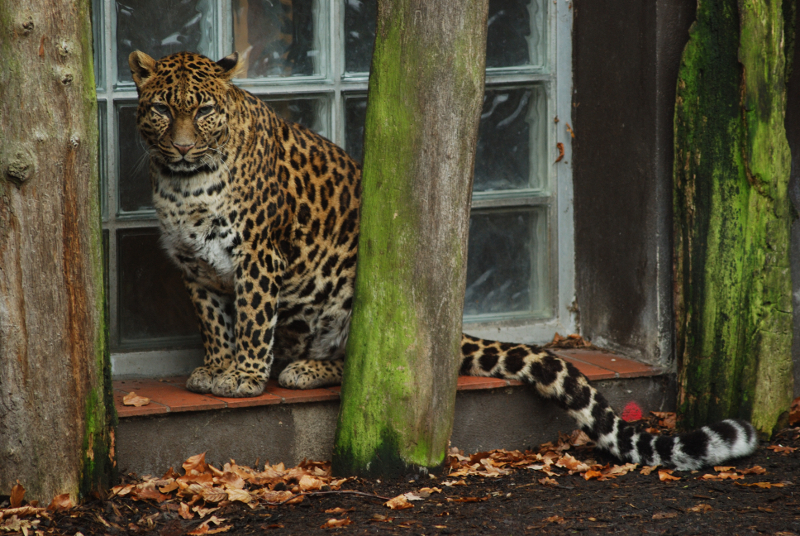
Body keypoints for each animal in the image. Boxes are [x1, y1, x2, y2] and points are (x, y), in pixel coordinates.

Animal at [129, 50, 758, 471]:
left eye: (204, 110)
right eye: (160, 108)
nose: (181, 146)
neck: (184, 183)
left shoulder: (259, 252)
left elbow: (253, 320)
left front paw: (243, 378)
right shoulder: (193, 264)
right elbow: (215, 323)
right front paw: (215, 368)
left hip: (360, 287)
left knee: (369, 361)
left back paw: (303, 369)